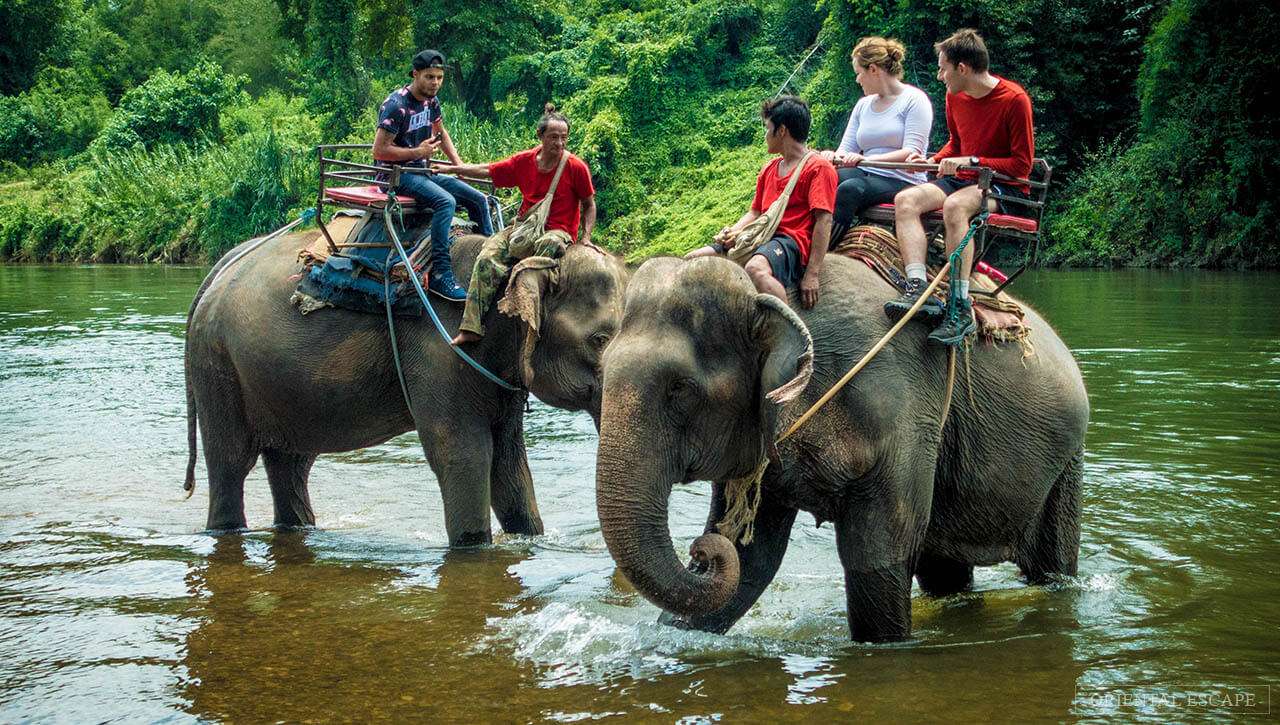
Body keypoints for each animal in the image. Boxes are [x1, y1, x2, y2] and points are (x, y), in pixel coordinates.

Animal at [184, 229, 627, 545]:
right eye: (600, 340)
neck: (508, 260)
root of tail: (218, 271)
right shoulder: (442, 350)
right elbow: (462, 453)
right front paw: (473, 546)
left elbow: (509, 462)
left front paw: (529, 537)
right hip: (218, 365)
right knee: (231, 463)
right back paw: (227, 529)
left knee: (290, 463)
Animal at [595, 253, 1088, 642]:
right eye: (600, 368)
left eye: (680, 389)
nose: (699, 551)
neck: (771, 297)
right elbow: (752, 560)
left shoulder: (900, 414)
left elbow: (876, 558)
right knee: (944, 573)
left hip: (1065, 461)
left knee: (1050, 566)